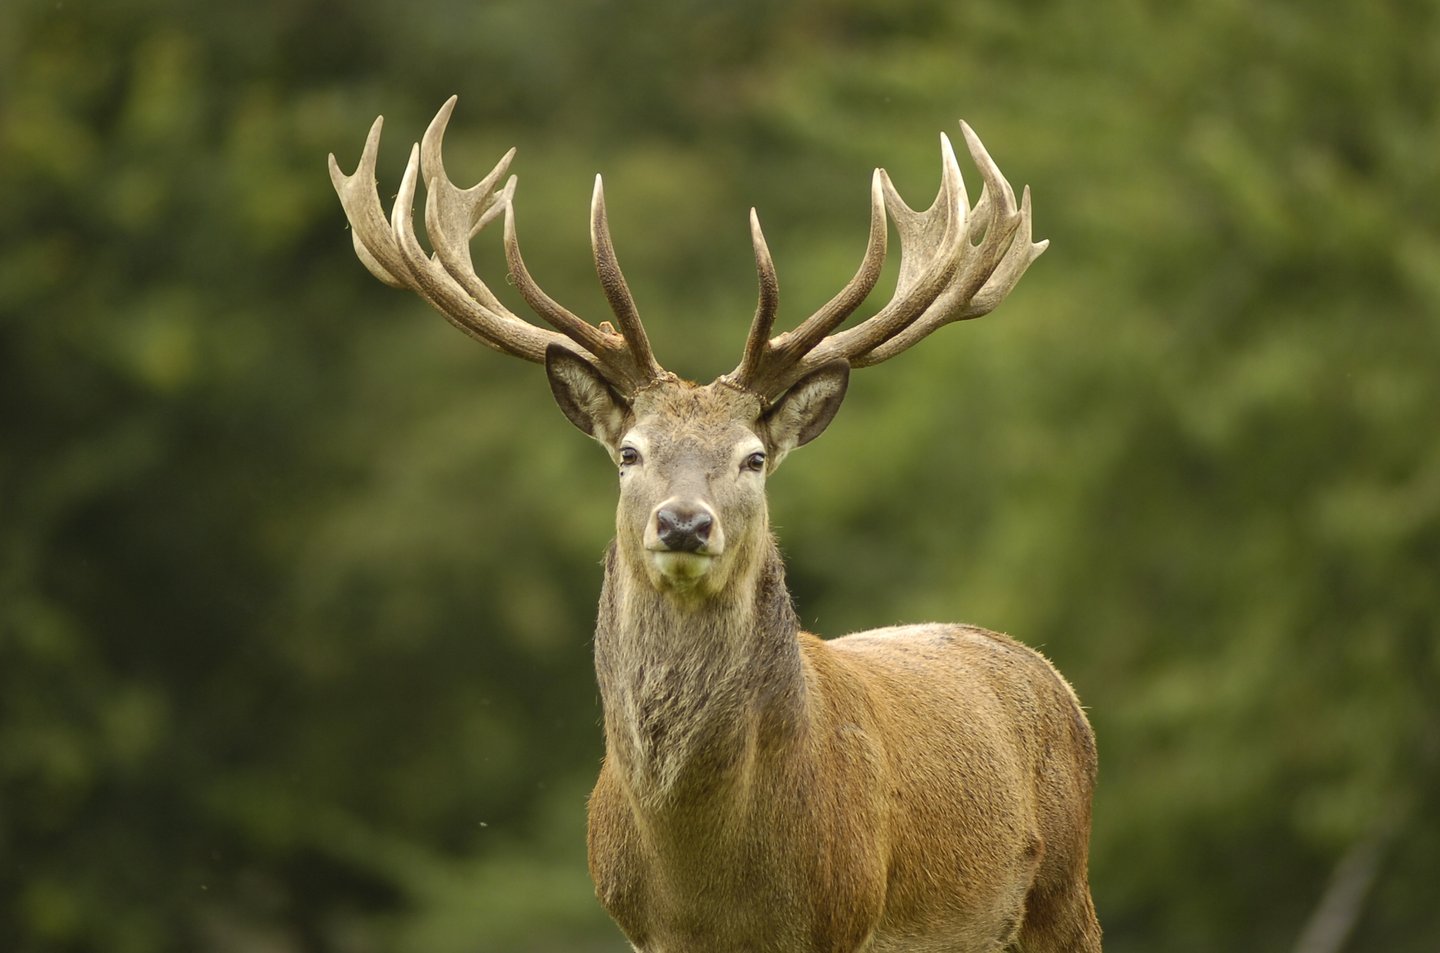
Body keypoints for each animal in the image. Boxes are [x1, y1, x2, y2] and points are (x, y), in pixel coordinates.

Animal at [330, 96, 1101, 953]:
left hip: (1064, 895)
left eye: (754, 457)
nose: (684, 524)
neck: (706, 876)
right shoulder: (640, 928)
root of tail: (1052, 679)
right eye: (629, 452)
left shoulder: (843, 916)